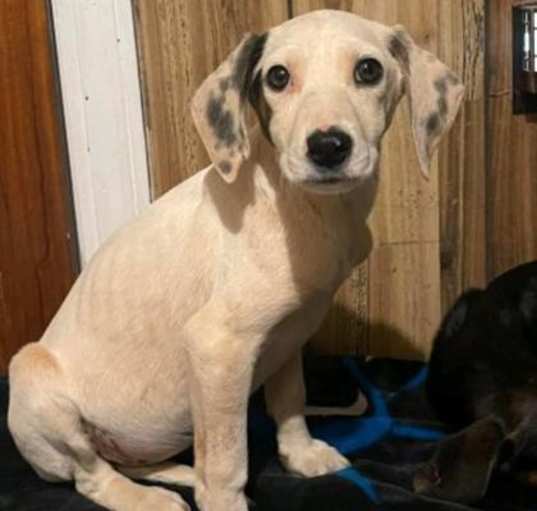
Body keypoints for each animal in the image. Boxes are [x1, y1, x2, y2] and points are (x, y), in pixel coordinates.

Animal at [7, 9, 460, 511]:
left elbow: (290, 401)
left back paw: (177, 473)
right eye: (277, 77)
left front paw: (301, 456)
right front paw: (226, 500)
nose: (327, 146)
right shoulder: (218, 347)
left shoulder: (289, 332)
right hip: (32, 380)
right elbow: (227, 458)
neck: (306, 206)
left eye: (368, 70)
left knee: (129, 462)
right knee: (90, 475)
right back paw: (147, 498)